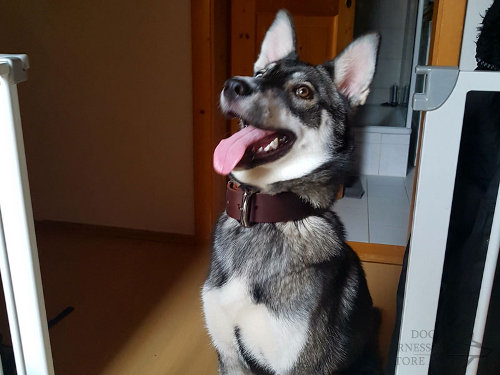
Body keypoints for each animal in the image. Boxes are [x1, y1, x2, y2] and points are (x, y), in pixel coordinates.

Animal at [201, 10, 380, 374]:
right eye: (260, 73)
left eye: (303, 91)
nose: (232, 84)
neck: (267, 219)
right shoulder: (228, 356)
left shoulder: (298, 365)